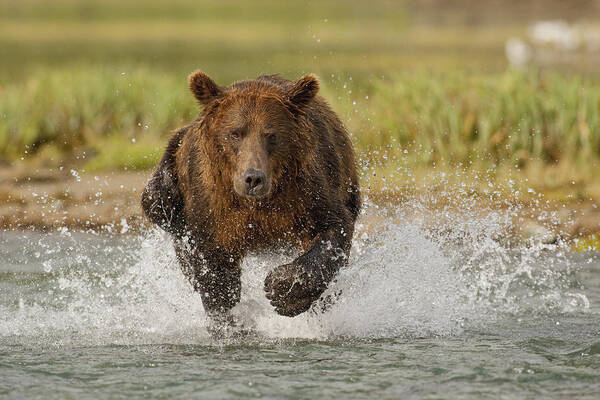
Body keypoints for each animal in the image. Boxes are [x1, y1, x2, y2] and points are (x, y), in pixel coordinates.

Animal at [142, 71, 360, 328]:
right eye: (235, 133)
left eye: (271, 135)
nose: (253, 178)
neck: (255, 205)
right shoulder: (210, 207)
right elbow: (211, 267)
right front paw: (228, 311)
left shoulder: (307, 192)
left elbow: (332, 229)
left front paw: (283, 291)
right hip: (170, 182)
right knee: (156, 202)